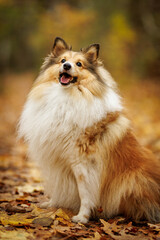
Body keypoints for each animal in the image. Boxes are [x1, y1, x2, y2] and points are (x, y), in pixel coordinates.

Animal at [18, 37, 160, 223]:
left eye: (79, 64)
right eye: (62, 60)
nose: (67, 66)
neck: (66, 97)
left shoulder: (83, 163)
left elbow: (85, 192)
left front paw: (82, 217)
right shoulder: (59, 162)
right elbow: (59, 186)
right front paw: (51, 204)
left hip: (131, 180)